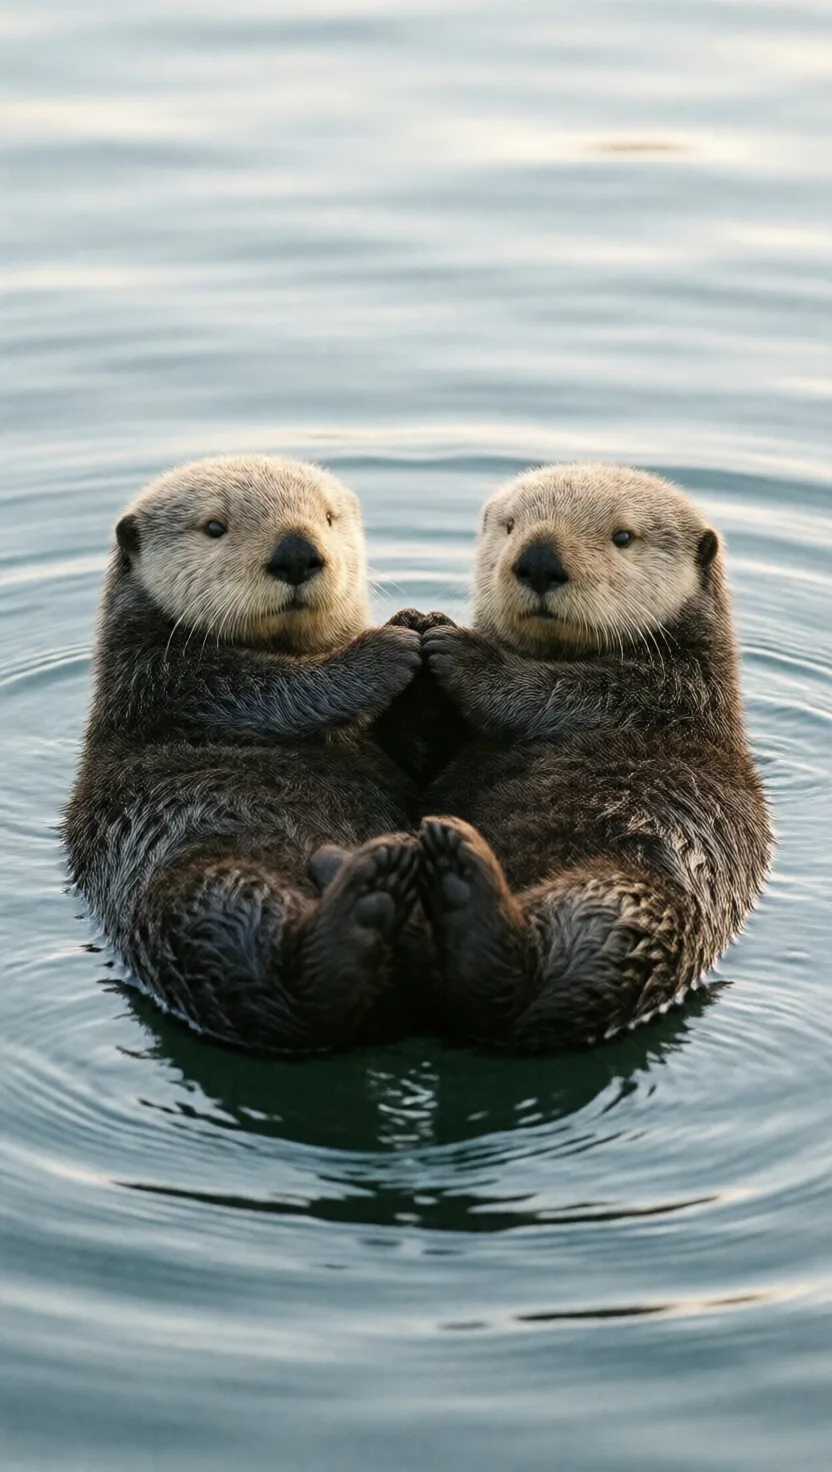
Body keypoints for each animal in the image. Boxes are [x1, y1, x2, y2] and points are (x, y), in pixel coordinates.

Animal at [65, 455, 427, 1055]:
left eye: (328, 518)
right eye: (215, 527)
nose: (297, 551)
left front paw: (424, 625)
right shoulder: (167, 683)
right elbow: (267, 691)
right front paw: (389, 646)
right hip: (199, 894)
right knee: (272, 981)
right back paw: (362, 907)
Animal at [417, 463, 772, 1051]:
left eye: (622, 536)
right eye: (511, 526)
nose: (539, 558)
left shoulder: (664, 693)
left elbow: (567, 692)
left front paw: (458, 648)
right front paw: (420, 627)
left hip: (617, 903)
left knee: (523, 979)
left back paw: (461, 878)